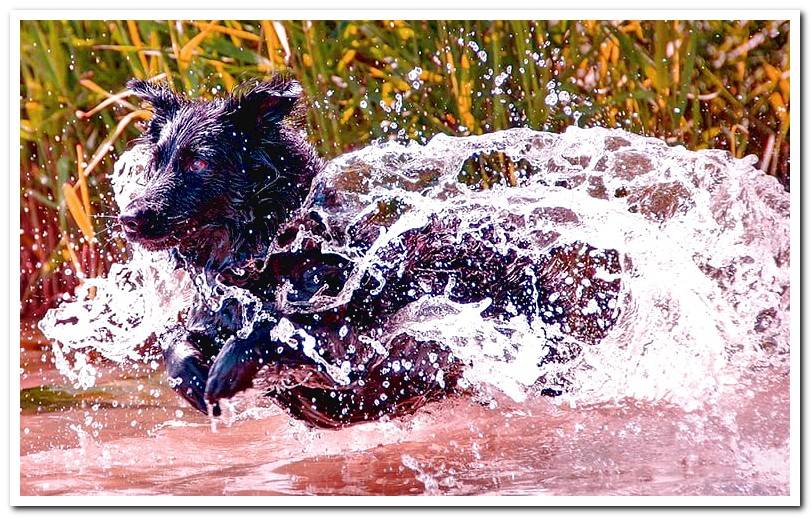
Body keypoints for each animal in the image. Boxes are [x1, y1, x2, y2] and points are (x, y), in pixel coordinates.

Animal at [122, 75, 620, 424]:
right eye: (155, 163)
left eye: (199, 162)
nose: (128, 217)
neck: (274, 255)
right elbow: (176, 345)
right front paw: (191, 376)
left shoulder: (356, 346)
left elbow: (278, 330)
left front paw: (229, 363)